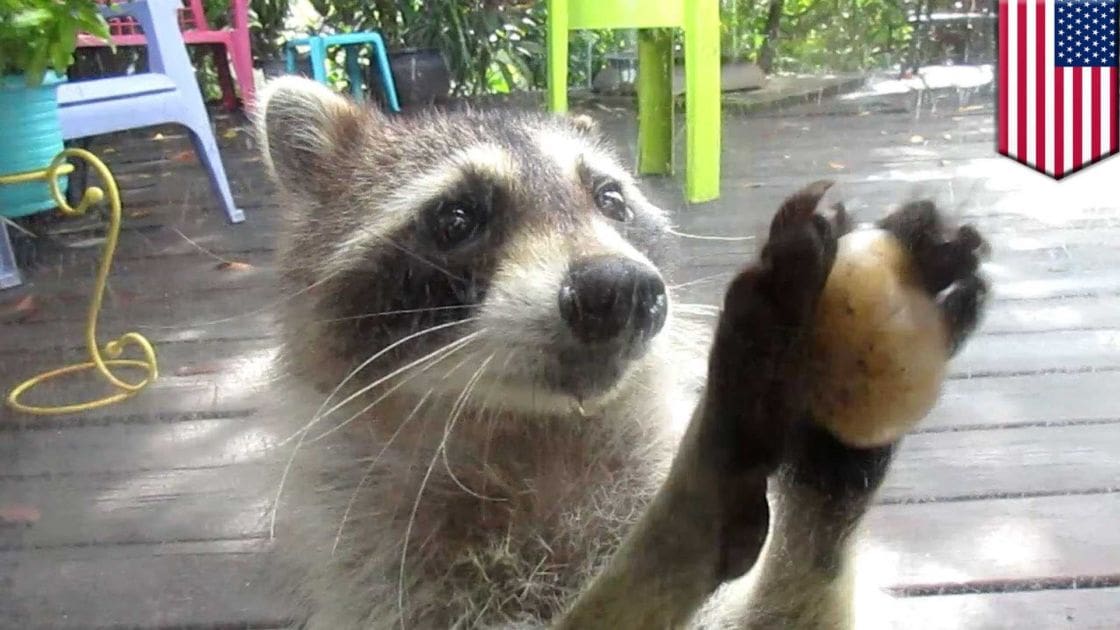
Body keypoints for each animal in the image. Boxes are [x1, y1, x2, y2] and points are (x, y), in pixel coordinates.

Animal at [255, 76, 988, 629]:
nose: (620, 290)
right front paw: (684, 520)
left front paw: (832, 472)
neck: (534, 433)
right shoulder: (390, 577)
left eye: (610, 201)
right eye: (457, 219)